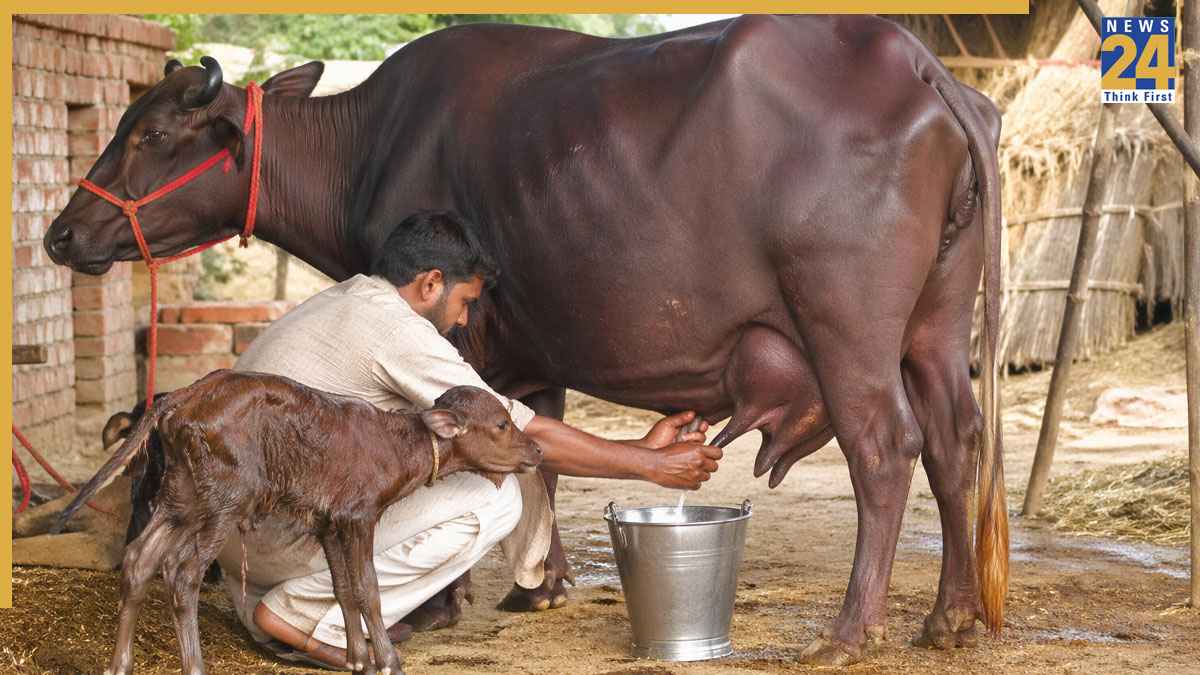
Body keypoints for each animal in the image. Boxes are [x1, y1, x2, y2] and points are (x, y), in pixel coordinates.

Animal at [45, 15, 1006, 665]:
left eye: (150, 132)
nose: (60, 234)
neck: (364, 148)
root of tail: (923, 67)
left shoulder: (470, 338)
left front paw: (447, 605)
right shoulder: (534, 352)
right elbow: (536, 447)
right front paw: (543, 584)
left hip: (848, 328)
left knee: (886, 450)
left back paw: (849, 630)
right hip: (935, 326)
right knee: (955, 442)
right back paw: (949, 616)